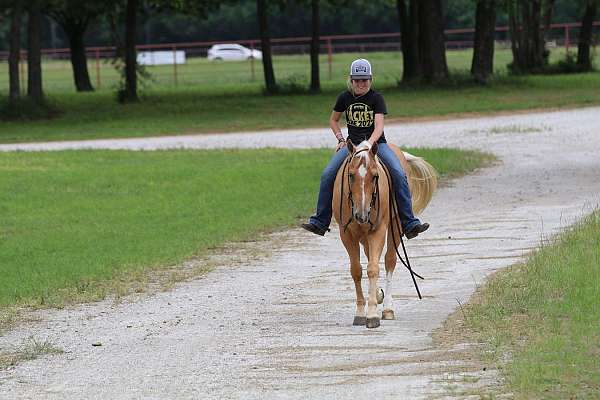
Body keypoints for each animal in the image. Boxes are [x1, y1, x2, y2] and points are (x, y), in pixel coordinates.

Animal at [332, 140, 436, 328]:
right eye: (350, 175)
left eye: (375, 176)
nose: (361, 214)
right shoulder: (347, 234)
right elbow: (356, 270)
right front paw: (360, 312)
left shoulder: (378, 230)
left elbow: (373, 268)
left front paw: (372, 314)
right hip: (364, 236)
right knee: (370, 256)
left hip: (394, 225)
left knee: (389, 260)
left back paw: (387, 308)